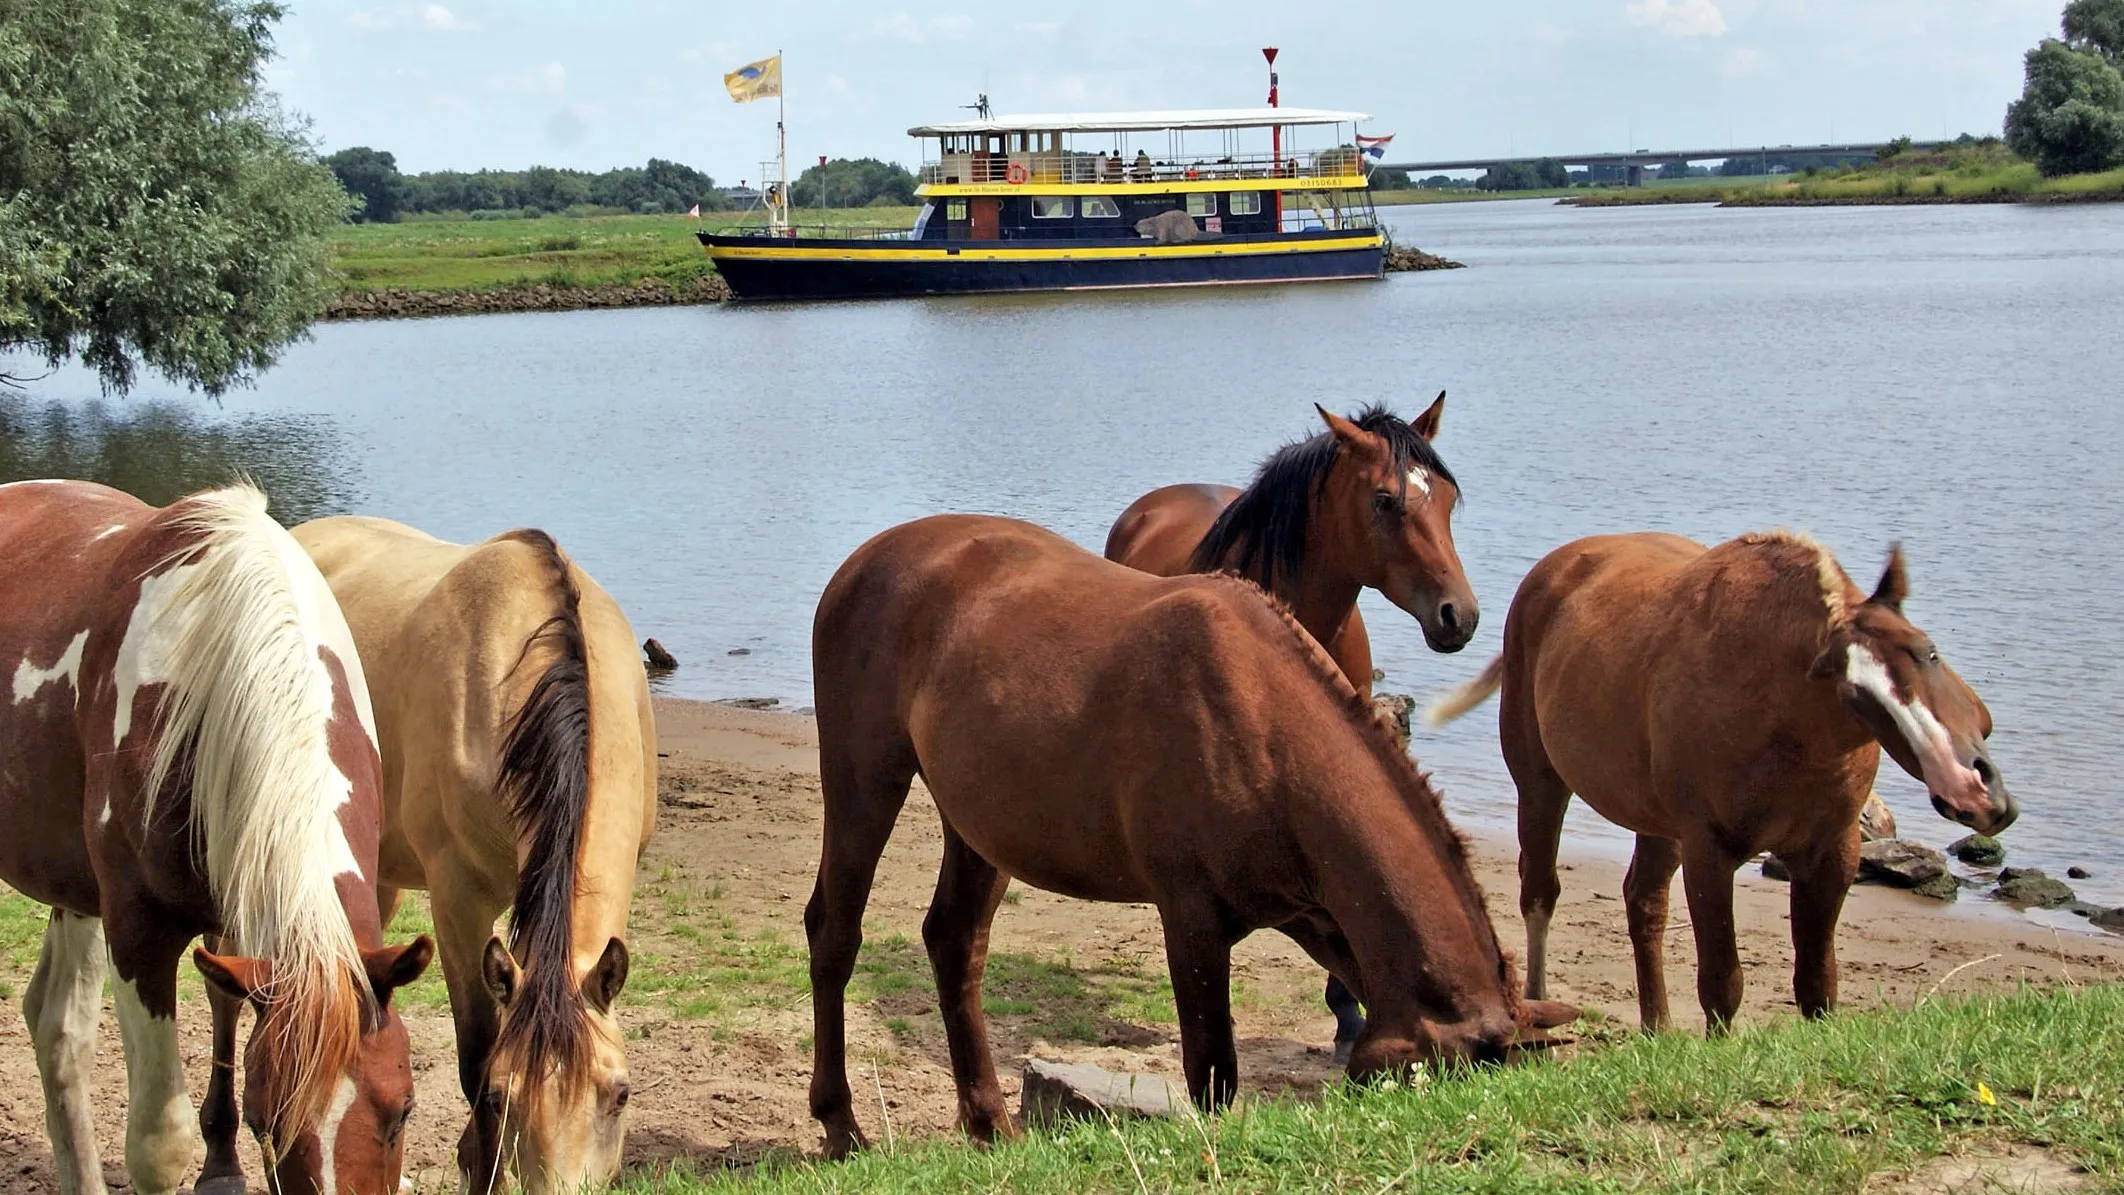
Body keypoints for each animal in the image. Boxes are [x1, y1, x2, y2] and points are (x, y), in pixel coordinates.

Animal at [802, 513, 1571, 1163]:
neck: (1265, 727)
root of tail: (865, 560)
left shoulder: (1315, 914)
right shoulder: (1193, 920)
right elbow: (1212, 1077)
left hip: (982, 825)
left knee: (955, 943)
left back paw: (990, 1121)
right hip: (865, 778)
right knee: (834, 932)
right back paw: (841, 1125)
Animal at [1427, 530, 2005, 1027]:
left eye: (1929, 652)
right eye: (1855, 694)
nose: (1972, 789)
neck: (1783, 714)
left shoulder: (1833, 852)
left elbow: (1817, 983)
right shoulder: (1709, 850)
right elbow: (1722, 984)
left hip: (1658, 824)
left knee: (1643, 904)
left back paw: (1657, 1029)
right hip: (1541, 784)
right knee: (1540, 892)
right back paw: (1540, 1000)